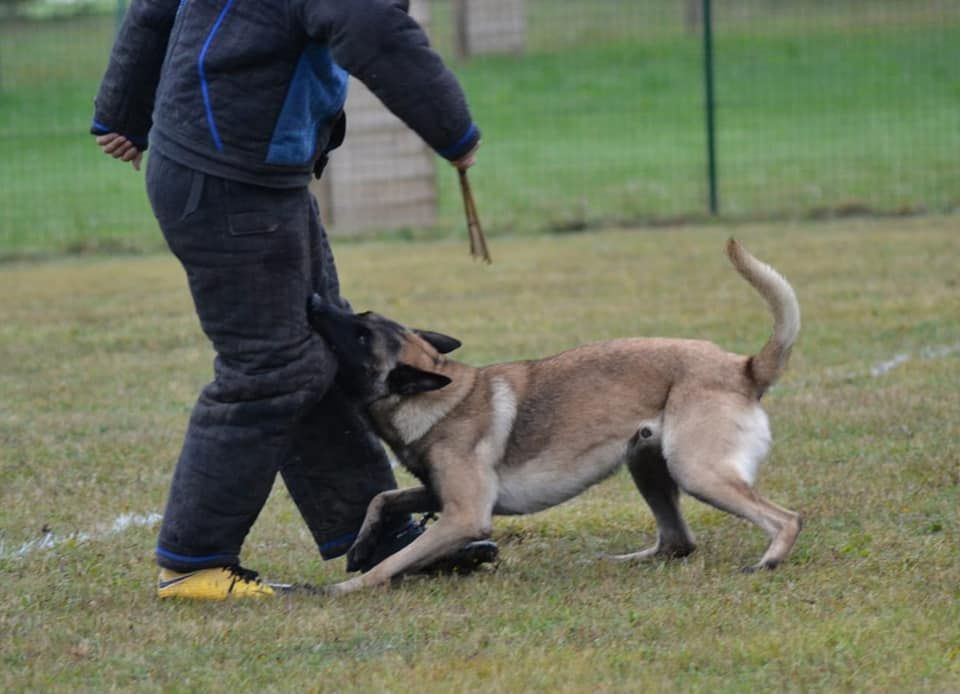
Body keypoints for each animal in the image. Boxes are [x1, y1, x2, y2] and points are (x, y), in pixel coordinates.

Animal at [308, 241, 804, 600]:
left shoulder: (466, 516)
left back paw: (767, 562)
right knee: (677, 543)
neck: (444, 395)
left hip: (695, 470)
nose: (312, 298)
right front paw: (359, 547)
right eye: (362, 318)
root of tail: (743, 367)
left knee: (786, 519)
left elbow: (391, 563)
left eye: (360, 334)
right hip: (646, 462)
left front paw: (346, 586)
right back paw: (616, 561)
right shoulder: (438, 494)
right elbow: (384, 498)